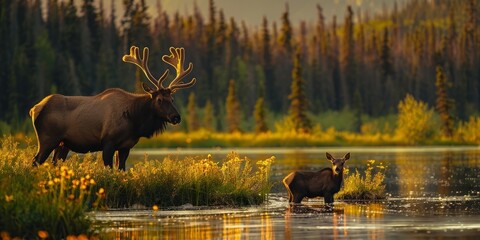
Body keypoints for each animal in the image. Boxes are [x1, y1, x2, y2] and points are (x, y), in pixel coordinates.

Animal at [30, 46, 195, 170]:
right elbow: (109, 169)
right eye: (160, 100)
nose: (176, 117)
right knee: (35, 161)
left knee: (54, 163)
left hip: (63, 144)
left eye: (172, 99)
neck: (135, 121)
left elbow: (121, 169)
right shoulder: (108, 142)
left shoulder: (125, 146)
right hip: (47, 139)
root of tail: (34, 109)